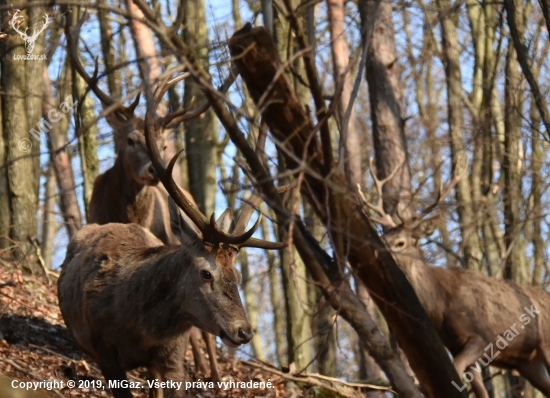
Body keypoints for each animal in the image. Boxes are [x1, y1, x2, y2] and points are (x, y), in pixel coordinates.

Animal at [360, 159, 550, 398]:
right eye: (383, 235)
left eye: (400, 242)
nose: (374, 250)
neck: (440, 305)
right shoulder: (456, 345)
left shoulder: (482, 336)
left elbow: (456, 370)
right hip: (528, 363)